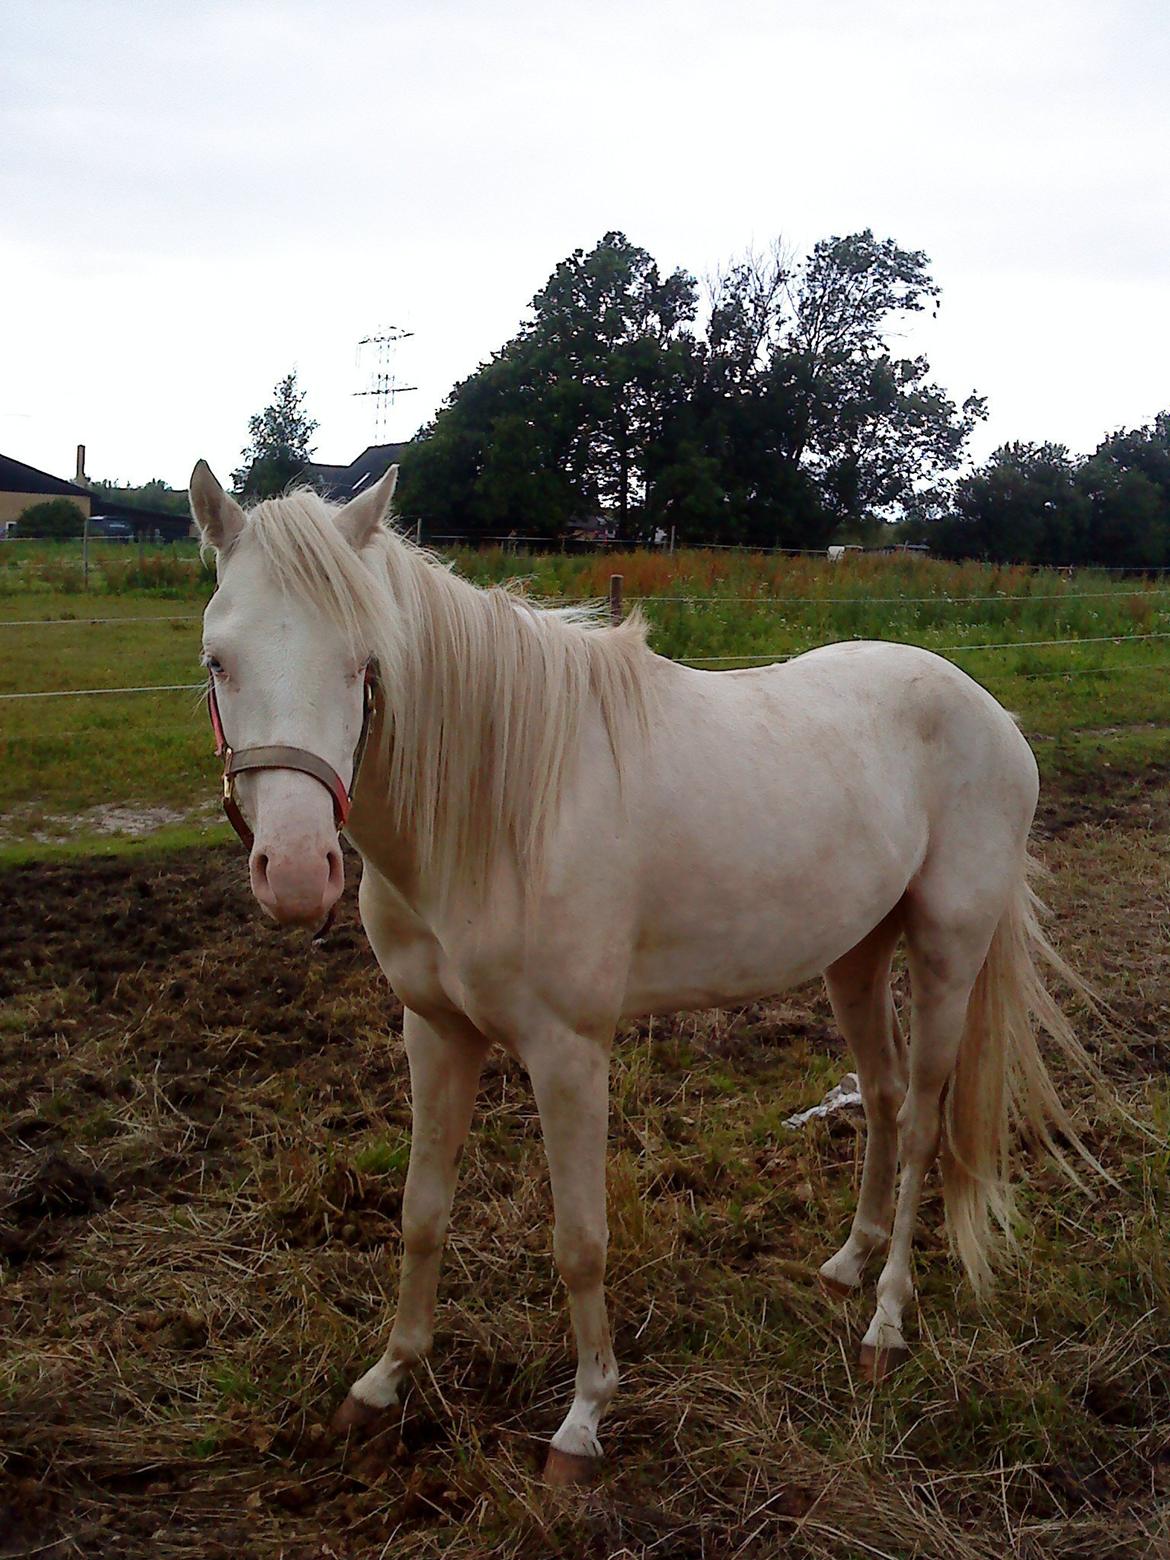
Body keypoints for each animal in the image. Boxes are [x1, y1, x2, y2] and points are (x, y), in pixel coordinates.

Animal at [187, 458, 1098, 1485]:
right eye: (218, 661)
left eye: (364, 664)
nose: (298, 874)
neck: (496, 810)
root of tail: (993, 714)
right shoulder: (436, 1032)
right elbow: (423, 1211)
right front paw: (386, 1381)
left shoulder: (569, 1054)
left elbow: (580, 1240)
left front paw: (583, 1421)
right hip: (856, 957)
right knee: (885, 1096)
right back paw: (846, 1266)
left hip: (947, 951)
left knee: (923, 1130)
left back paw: (886, 1322)